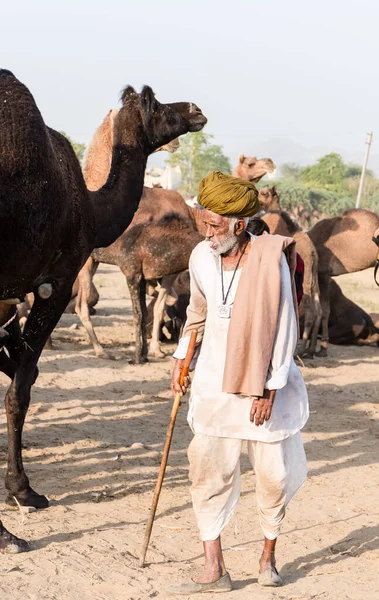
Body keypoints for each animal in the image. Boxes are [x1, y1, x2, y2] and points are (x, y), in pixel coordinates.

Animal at [0, 68, 206, 552]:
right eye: (157, 104)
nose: (195, 109)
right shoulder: (55, 278)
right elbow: (22, 387)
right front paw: (24, 491)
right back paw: (9, 536)